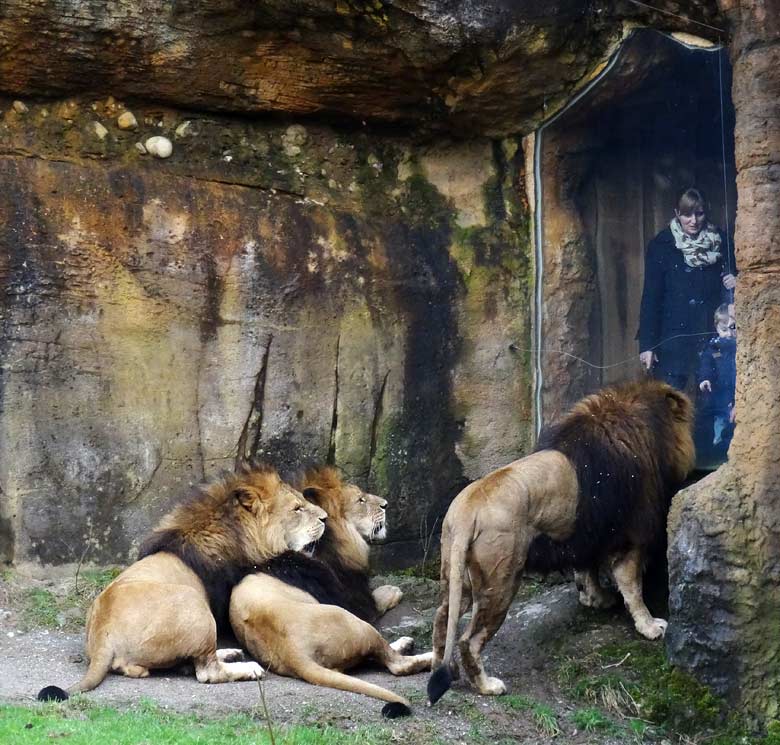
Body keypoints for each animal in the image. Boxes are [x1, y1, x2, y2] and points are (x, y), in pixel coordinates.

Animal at [37, 462, 326, 700]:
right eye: (297, 508)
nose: (325, 518)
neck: (234, 531)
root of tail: (102, 637)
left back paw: (228, 653)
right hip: (195, 606)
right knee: (207, 671)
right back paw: (248, 668)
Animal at [229, 464, 432, 716]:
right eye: (361, 499)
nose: (386, 504)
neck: (331, 542)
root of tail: (294, 653)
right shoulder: (352, 600)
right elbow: (378, 599)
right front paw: (393, 589)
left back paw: (405, 643)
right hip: (353, 621)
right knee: (396, 664)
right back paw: (430, 655)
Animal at [426, 378, 696, 704]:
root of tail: (467, 511)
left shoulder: (589, 532)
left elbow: (587, 570)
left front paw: (595, 599)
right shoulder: (632, 534)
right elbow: (631, 585)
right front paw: (649, 626)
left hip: (456, 575)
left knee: (441, 621)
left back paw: (441, 667)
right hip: (501, 581)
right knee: (469, 640)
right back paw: (487, 685)